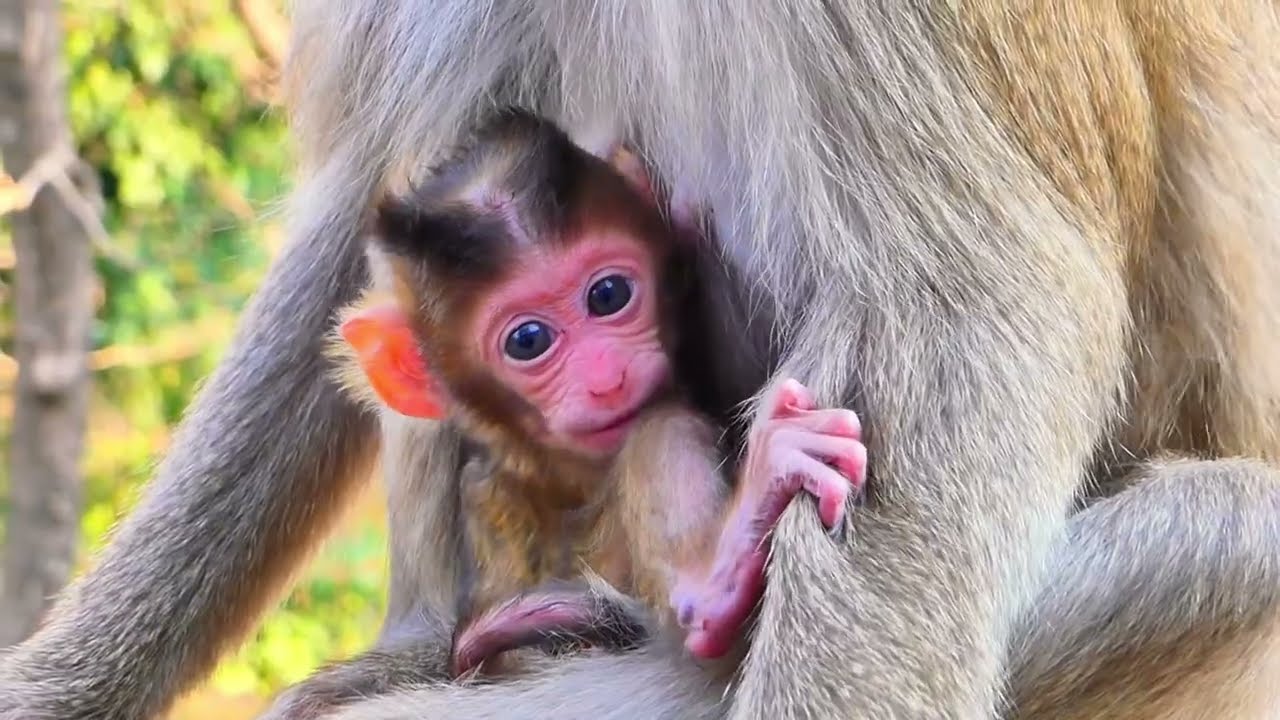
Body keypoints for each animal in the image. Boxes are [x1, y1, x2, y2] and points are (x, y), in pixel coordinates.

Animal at [329, 109, 865, 675]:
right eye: (528, 341)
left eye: (608, 294)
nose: (609, 378)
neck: (568, 482)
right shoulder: (484, 490)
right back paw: (713, 584)